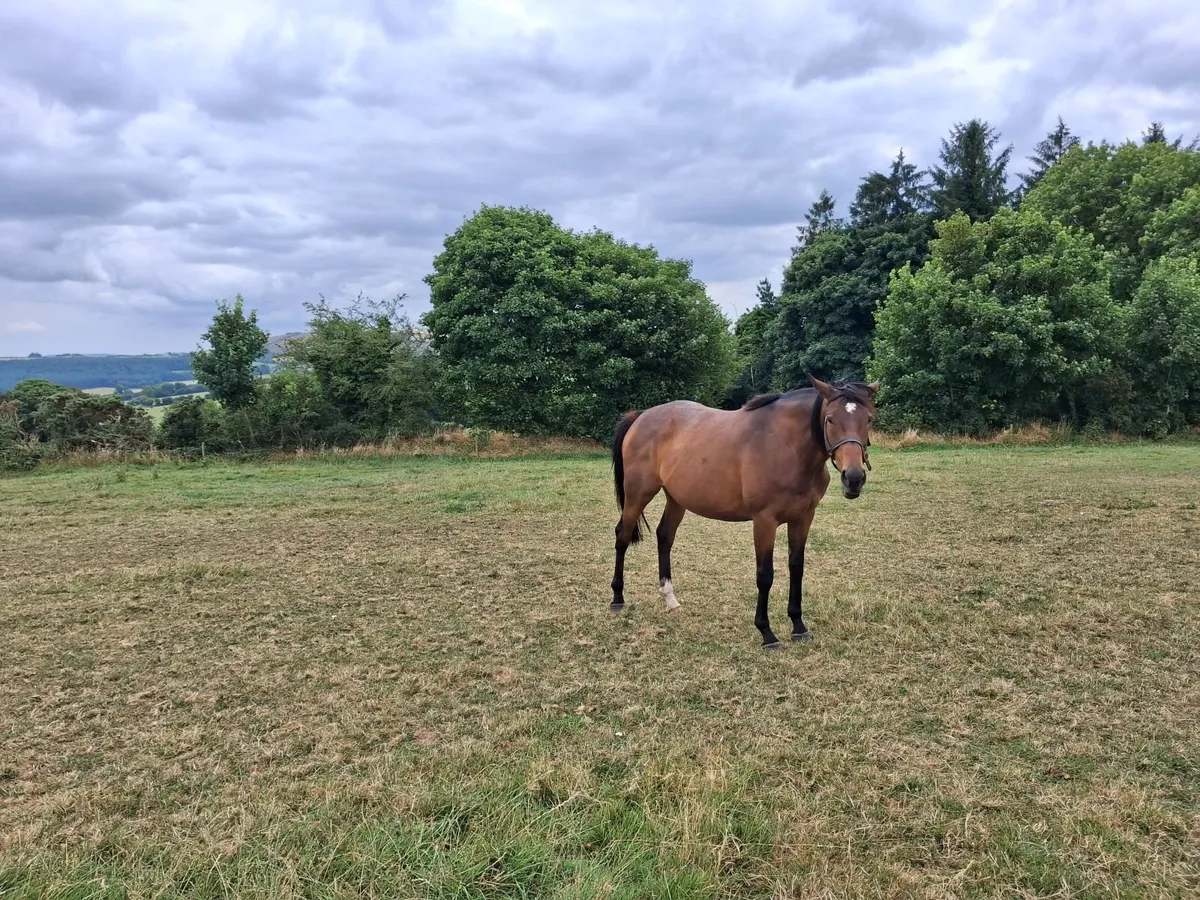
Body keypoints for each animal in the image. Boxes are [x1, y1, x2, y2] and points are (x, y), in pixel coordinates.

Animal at [608, 375, 879, 649]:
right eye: (830, 419)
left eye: (868, 419)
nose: (853, 478)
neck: (785, 445)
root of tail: (641, 417)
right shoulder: (764, 521)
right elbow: (765, 575)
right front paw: (767, 633)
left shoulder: (803, 518)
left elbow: (797, 567)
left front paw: (798, 625)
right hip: (637, 495)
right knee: (622, 536)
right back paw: (618, 598)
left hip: (676, 498)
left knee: (664, 537)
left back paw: (670, 599)